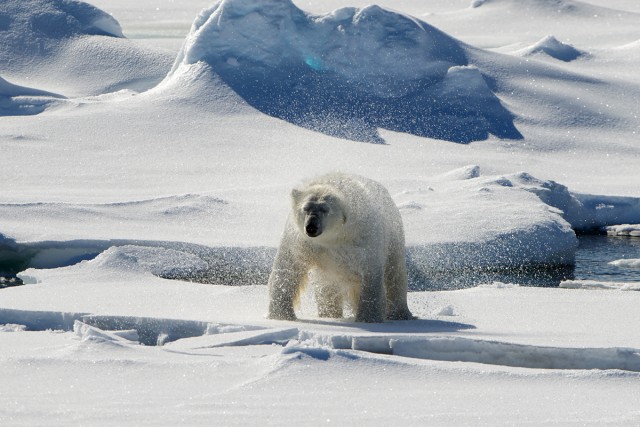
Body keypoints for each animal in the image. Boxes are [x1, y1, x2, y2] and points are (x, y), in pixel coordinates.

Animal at [266, 172, 412, 322]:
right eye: (305, 208)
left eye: (325, 209)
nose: (311, 227)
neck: (333, 238)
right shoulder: (301, 241)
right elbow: (288, 266)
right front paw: (281, 315)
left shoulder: (363, 240)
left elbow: (371, 273)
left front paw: (368, 318)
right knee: (326, 287)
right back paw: (329, 313)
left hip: (394, 236)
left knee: (394, 274)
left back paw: (400, 314)